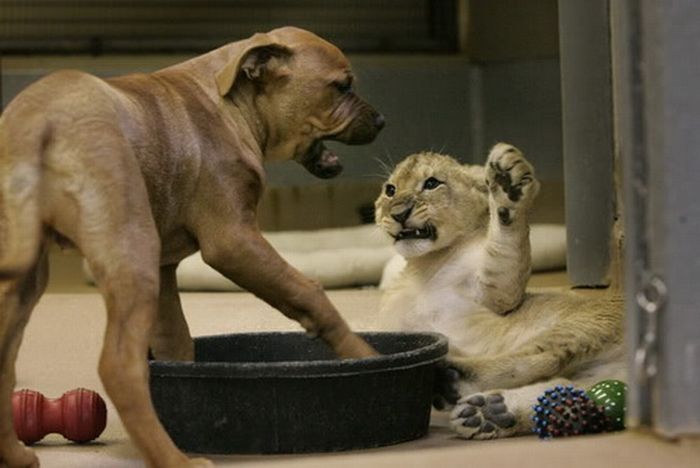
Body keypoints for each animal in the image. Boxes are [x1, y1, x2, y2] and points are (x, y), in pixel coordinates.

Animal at [0, 27, 382, 466]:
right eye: (342, 86)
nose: (382, 120)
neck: (232, 103)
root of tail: (40, 121)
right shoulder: (234, 240)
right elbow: (310, 294)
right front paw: (367, 357)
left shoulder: (166, 272)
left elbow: (176, 342)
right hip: (132, 252)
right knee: (120, 366)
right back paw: (174, 459)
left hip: (28, 277)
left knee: (5, 361)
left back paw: (15, 454)